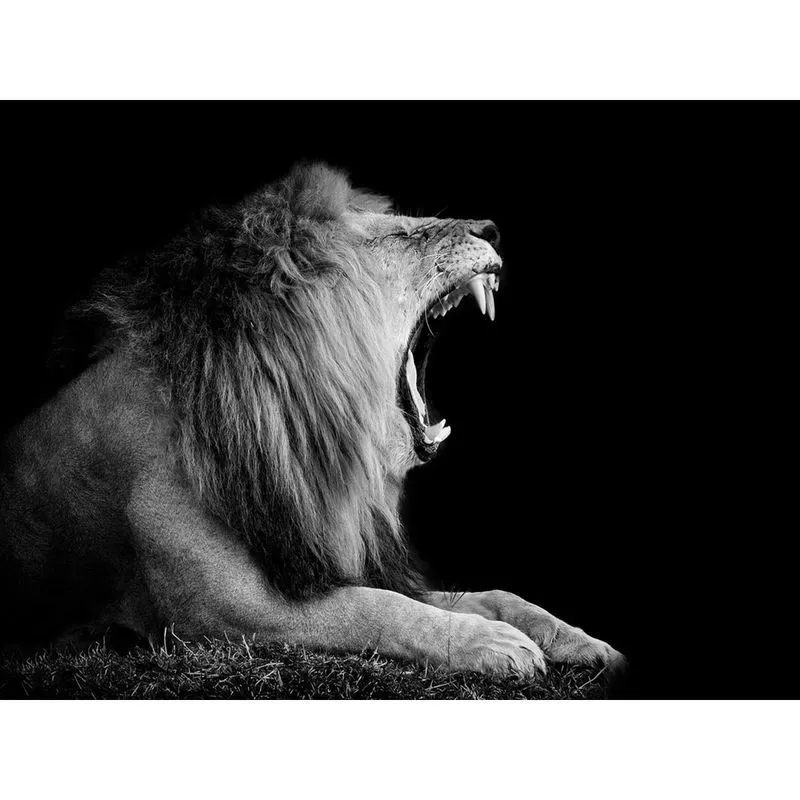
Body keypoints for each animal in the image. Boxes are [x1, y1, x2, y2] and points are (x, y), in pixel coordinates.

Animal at [0, 162, 625, 679]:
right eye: (399, 235)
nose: (493, 230)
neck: (299, 437)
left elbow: (489, 594)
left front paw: (576, 638)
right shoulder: (221, 612)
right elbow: (377, 610)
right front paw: (491, 643)